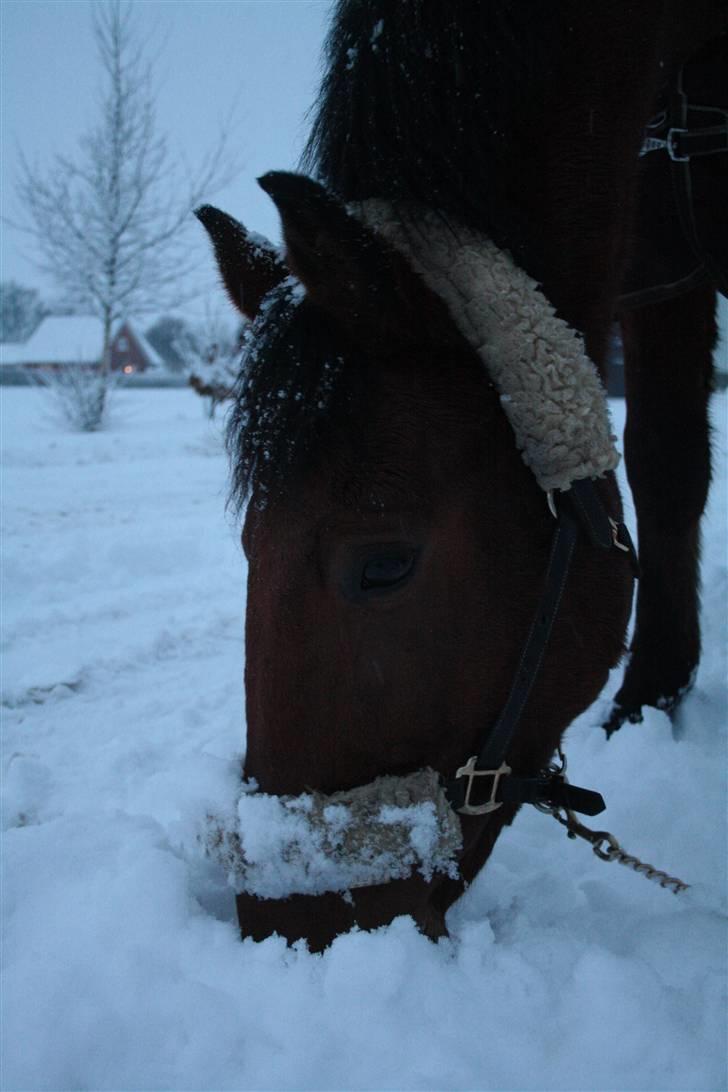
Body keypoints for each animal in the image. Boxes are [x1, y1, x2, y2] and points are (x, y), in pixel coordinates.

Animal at [196, 2, 724, 947]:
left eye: (384, 565)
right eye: (249, 543)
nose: (291, 925)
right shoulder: (658, 277)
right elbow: (668, 466)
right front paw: (654, 696)